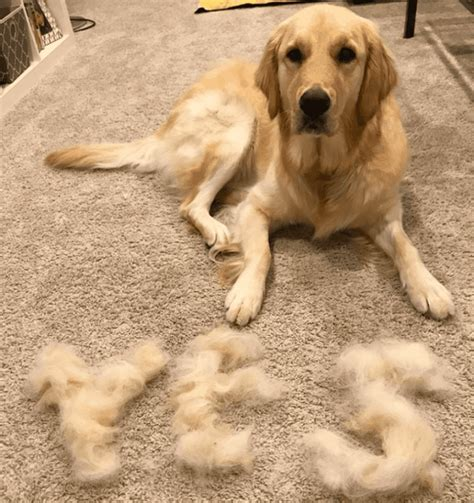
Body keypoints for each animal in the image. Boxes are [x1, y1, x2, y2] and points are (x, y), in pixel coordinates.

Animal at [45, 3, 456, 326]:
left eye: (346, 54)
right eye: (294, 54)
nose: (313, 103)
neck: (325, 166)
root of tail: (166, 124)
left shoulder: (383, 212)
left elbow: (407, 245)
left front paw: (429, 286)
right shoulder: (256, 206)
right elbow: (262, 253)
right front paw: (246, 293)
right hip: (238, 129)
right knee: (191, 204)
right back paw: (217, 230)